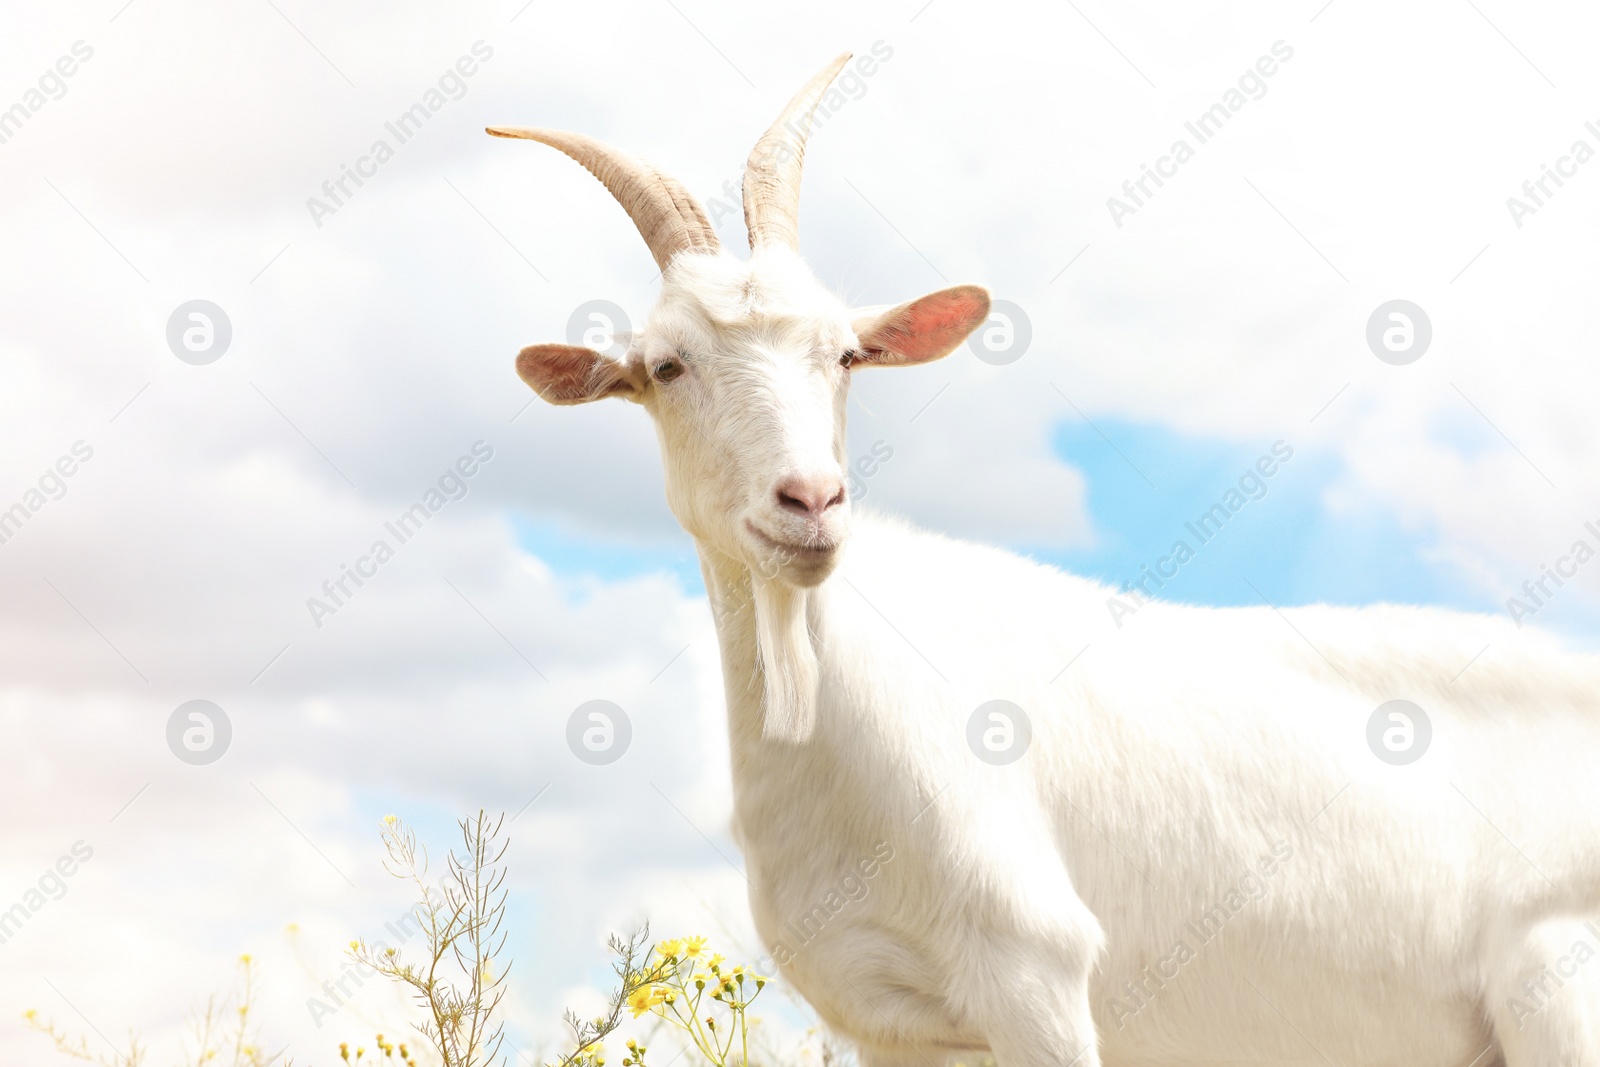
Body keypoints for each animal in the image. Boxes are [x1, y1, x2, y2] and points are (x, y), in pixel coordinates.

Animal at [492, 56, 1600, 1067]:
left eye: (846, 353)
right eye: (665, 366)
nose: (809, 502)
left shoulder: (1038, 974)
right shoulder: (895, 1023)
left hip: (1557, 990)